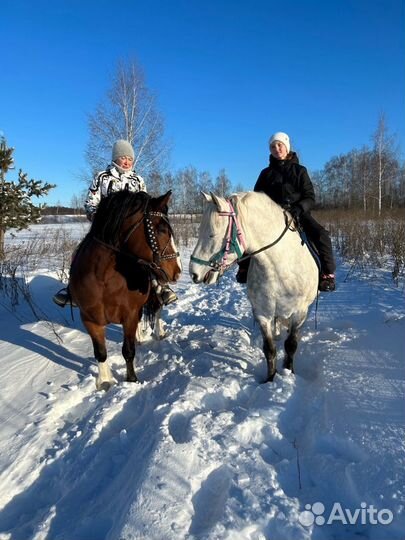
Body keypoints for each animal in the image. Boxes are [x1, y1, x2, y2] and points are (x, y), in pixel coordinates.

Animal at [69, 190, 181, 388]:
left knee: (157, 310)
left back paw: (159, 332)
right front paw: (105, 382)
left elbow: (128, 350)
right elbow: (101, 352)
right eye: (161, 230)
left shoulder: (129, 315)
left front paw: (131, 380)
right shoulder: (89, 319)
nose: (177, 270)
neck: (103, 278)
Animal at [189, 192, 318, 382]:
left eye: (212, 234)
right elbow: (269, 349)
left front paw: (288, 373)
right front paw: (270, 379)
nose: (193, 273)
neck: (281, 266)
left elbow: (291, 345)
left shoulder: (299, 312)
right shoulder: (262, 313)